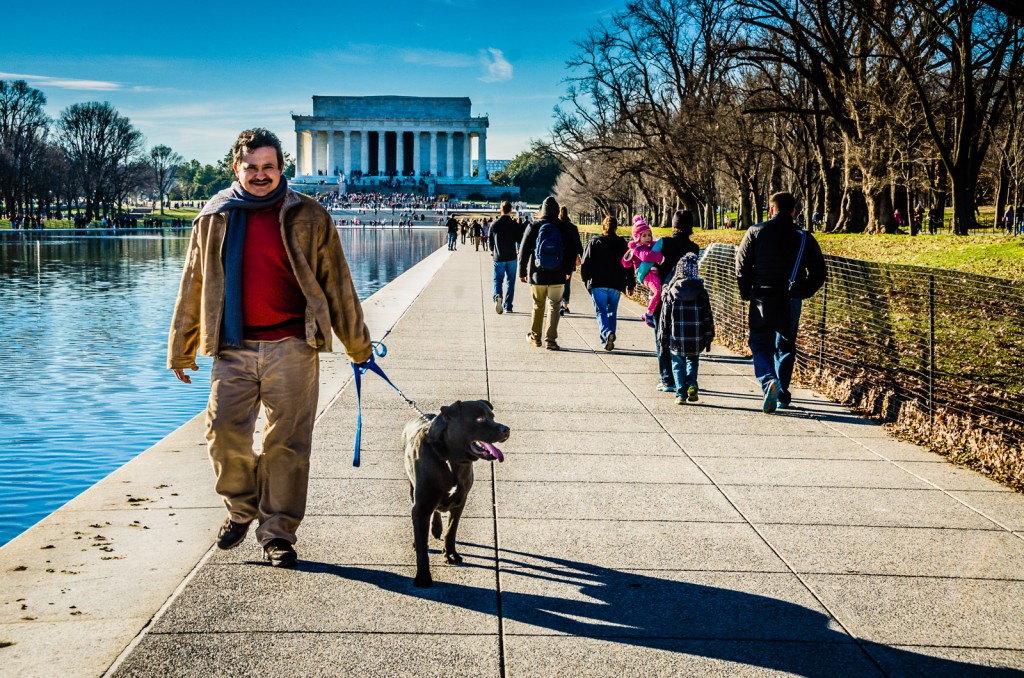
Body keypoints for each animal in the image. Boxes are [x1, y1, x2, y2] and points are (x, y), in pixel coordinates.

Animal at [401, 401, 509, 585]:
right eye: (480, 418)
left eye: (492, 416)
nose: (506, 429)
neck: (451, 459)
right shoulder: (421, 507)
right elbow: (422, 546)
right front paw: (423, 576)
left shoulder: (460, 501)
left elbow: (451, 531)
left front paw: (450, 553)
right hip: (412, 488)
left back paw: (436, 529)